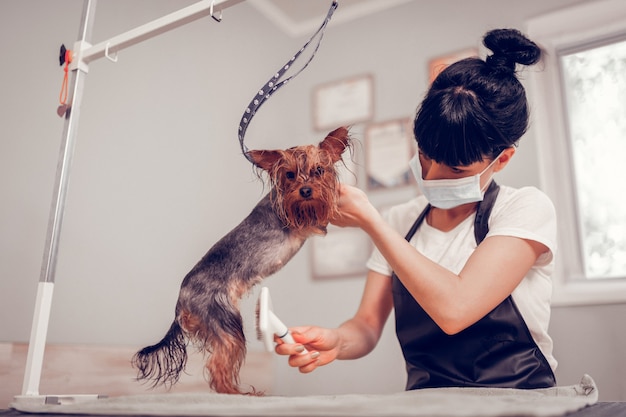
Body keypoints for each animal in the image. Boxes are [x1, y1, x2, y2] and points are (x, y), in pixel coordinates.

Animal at [130, 126, 352, 394]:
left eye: (319, 170)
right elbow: (322, 215)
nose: (306, 190)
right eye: (289, 175)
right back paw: (239, 393)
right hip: (224, 319)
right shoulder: (302, 221)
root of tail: (180, 302)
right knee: (219, 365)